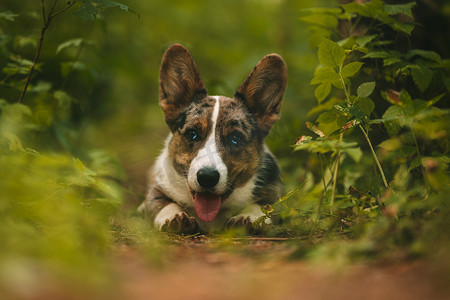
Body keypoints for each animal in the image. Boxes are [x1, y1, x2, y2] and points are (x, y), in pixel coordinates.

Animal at [137, 43, 286, 233]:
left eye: (236, 138)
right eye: (192, 134)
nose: (207, 177)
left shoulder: (273, 193)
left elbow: (262, 207)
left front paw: (246, 218)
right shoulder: (156, 188)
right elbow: (161, 203)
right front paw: (174, 217)